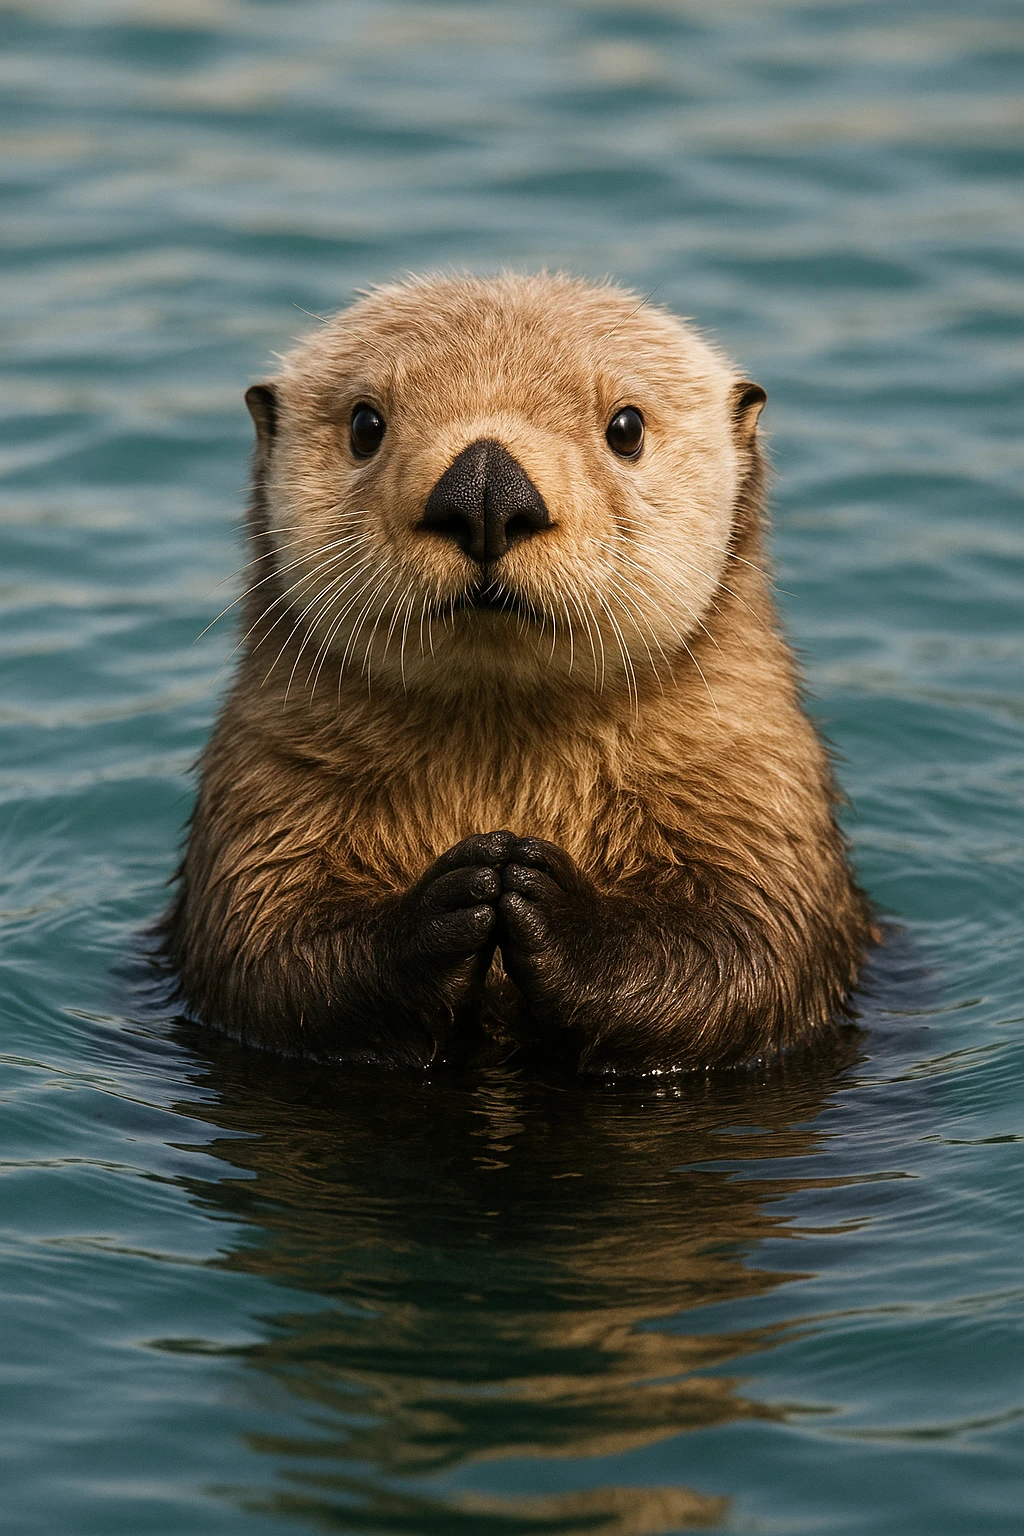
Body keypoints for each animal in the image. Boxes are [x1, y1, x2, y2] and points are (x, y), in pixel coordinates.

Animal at [165, 272, 874, 1074]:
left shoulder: (754, 779)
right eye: (366, 425)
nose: (484, 488)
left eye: (626, 427)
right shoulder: (267, 781)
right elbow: (267, 950)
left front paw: (537, 894)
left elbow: (748, 949)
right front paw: (463, 891)